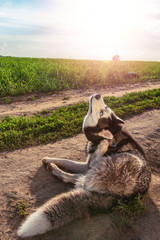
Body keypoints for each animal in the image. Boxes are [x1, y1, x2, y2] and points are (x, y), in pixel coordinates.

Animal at [17, 94, 151, 238]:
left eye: (101, 112)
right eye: (105, 108)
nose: (98, 95)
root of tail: (122, 197)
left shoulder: (89, 165)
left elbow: (73, 162)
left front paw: (104, 144)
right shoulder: (85, 164)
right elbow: (66, 161)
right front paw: (47, 159)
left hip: (114, 166)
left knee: (77, 179)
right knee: (75, 178)